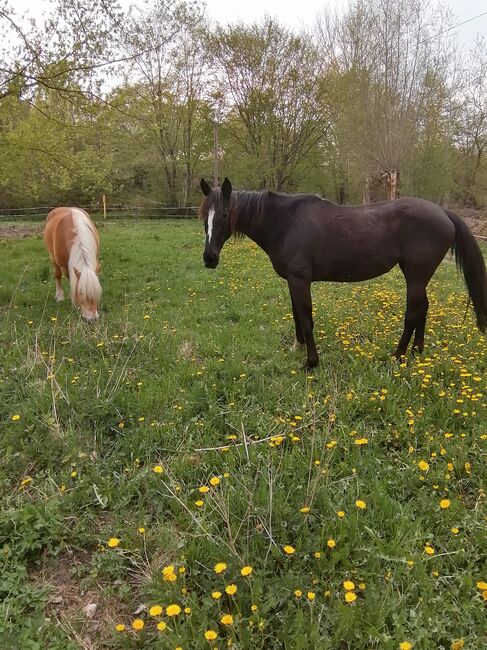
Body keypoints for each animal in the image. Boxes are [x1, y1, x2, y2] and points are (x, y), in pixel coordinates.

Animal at [199, 177, 487, 368]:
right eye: (204, 216)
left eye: (224, 215)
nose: (209, 258)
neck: (286, 223)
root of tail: (444, 213)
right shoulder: (292, 281)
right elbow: (296, 316)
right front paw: (297, 348)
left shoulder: (300, 280)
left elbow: (306, 319)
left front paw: (311, 362)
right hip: (419, 277)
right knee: (424, 309)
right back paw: (417, 353)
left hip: (415, 277)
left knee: (413, 313)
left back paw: (397, 357)